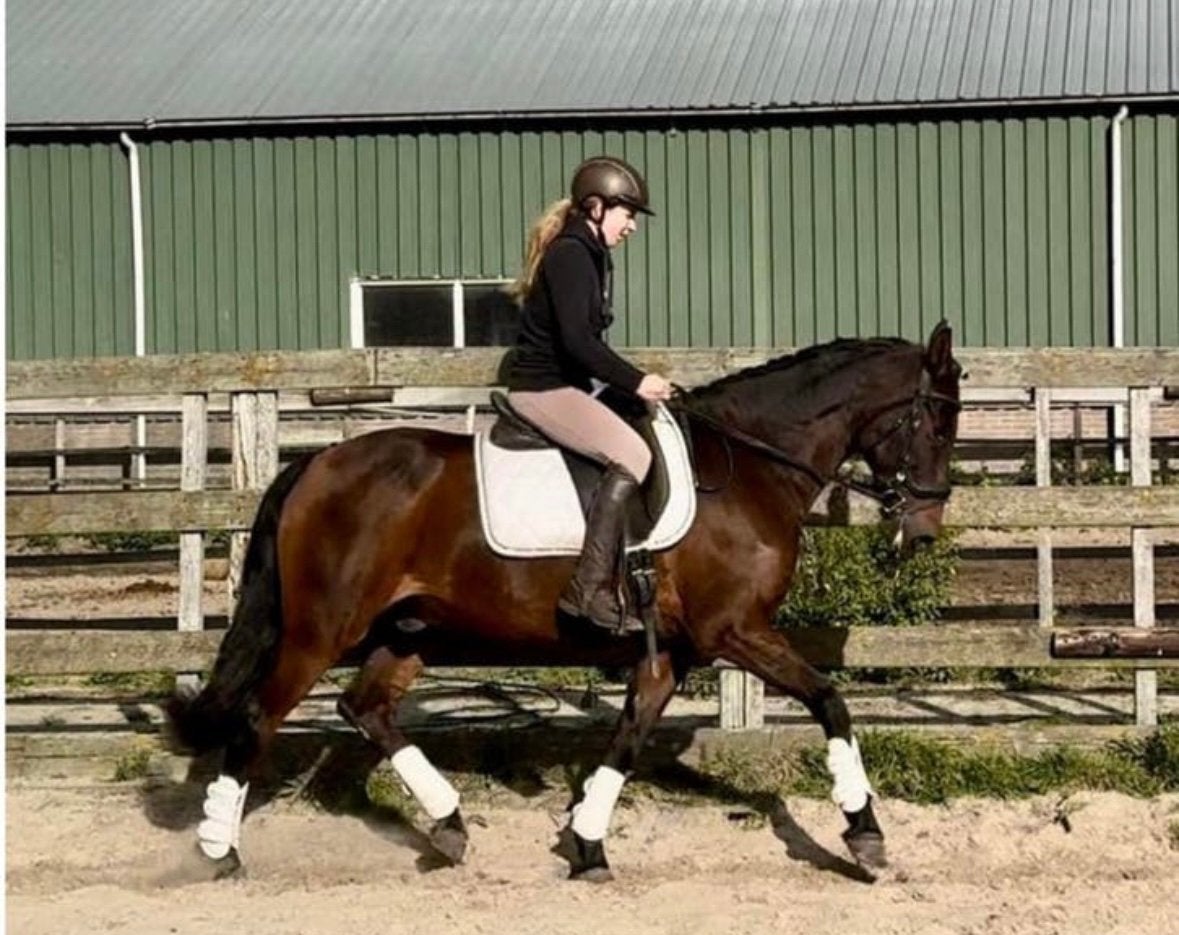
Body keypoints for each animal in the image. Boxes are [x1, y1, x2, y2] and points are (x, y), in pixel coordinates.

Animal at [167, 321, 962, 881]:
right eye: (934, 422)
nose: (923, 530)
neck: (751, 464)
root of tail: (316, 463)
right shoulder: (734, 629)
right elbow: (830, 699)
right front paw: (865, 835)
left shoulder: (672, 650)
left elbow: (630, 734)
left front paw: (587, 843)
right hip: (320, 629)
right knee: (259, 717)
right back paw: (218, 851)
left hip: (409, 630)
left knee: (365, 707)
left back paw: (449, 825)